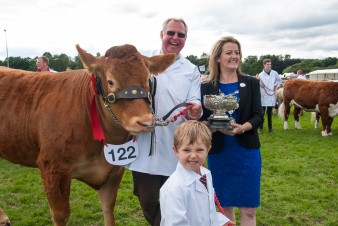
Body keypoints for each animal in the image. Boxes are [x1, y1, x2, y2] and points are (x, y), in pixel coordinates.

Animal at [0, 43, 174, 225]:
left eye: (148, 79)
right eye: (110, 81)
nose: (145, 122)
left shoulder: (114, 170)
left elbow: (108, 207)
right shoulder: (52, 168)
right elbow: (60, 215)